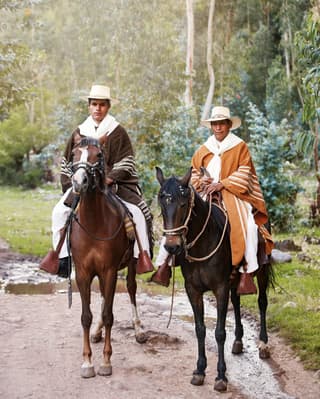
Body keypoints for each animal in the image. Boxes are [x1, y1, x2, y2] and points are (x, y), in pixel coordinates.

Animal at [70, 136, 146, 380]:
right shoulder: (83, 273)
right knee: (104, 296)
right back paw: (97, 331)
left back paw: (138, 329)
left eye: (98, 155)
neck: (94, 222)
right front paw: (87, 362)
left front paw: (105, 361)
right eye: (75, 154)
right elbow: (86, 316)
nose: (79, 182)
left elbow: (109, 313)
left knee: (131, 289)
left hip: (131, 264)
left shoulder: (110, 271)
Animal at [156, 166, 274, 394]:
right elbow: (200, 329)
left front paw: (221, 376)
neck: (204, 241)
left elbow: (219, 332)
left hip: (262, 269)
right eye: (161, 204)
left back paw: (263, 344)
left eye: (184, 204)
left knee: (262, 302)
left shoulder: (220, 287)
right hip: (235, 278)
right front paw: (200, 371)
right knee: (236, 301)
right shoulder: (192, 289)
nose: (172, 246)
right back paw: (238, 341)